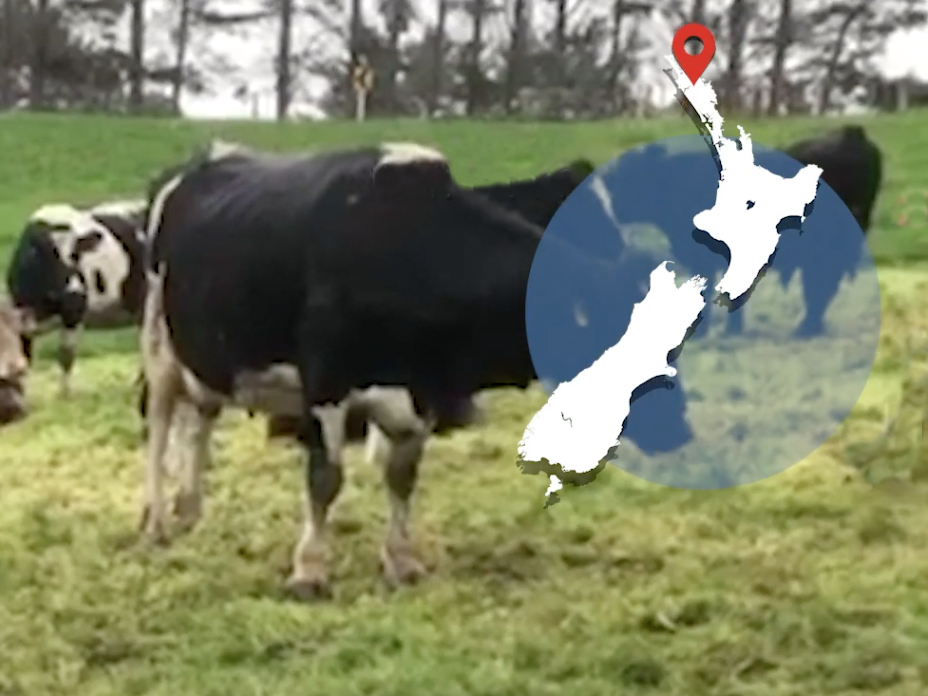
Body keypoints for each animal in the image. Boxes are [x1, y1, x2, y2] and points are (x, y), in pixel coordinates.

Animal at [5, 198, 147, 394]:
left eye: (75, 253)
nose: (72, 289)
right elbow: (26, 358)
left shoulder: (73, 310)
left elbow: (66, 355)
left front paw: (65, 394)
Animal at [138, 141, 692, 600]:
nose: (682, 430)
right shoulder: (326, 382)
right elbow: (325, 479)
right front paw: (309, 571)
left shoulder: (421, 392)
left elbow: (403, 477)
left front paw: (401, 562)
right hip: (159, 346)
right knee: (162, 427)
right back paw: (157, 519)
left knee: (201, 420)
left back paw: (189, 508)